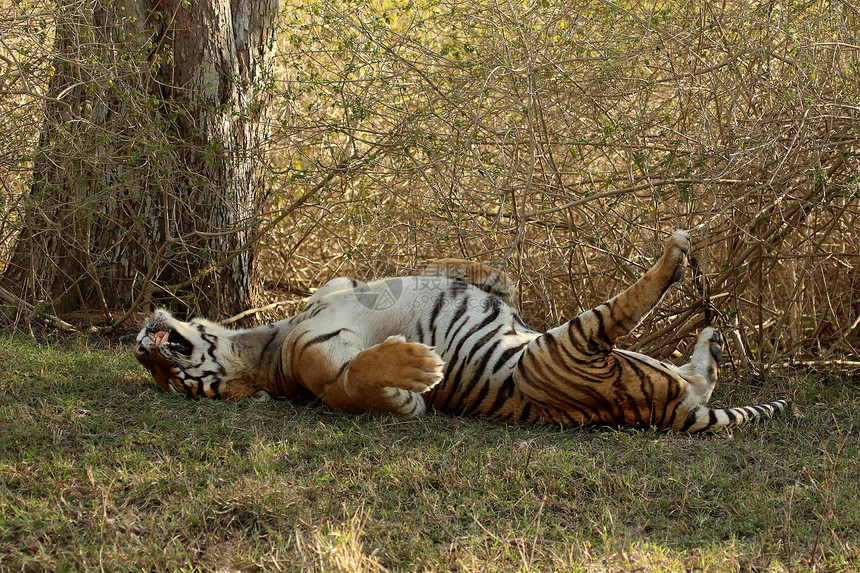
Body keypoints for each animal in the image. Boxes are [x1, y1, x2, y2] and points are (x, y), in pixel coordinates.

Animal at [133, 230, 788, 432]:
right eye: (178, 387)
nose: (142, 348)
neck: (268, 338)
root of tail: (667, 412)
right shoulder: (322, 372)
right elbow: (353, 381)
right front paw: (415, 373)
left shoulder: (346, 282)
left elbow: (460, 269)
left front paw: (490, 275)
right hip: (569, 347)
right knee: (625, 308)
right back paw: (676, 258)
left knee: (702, 373)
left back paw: (709, 336)